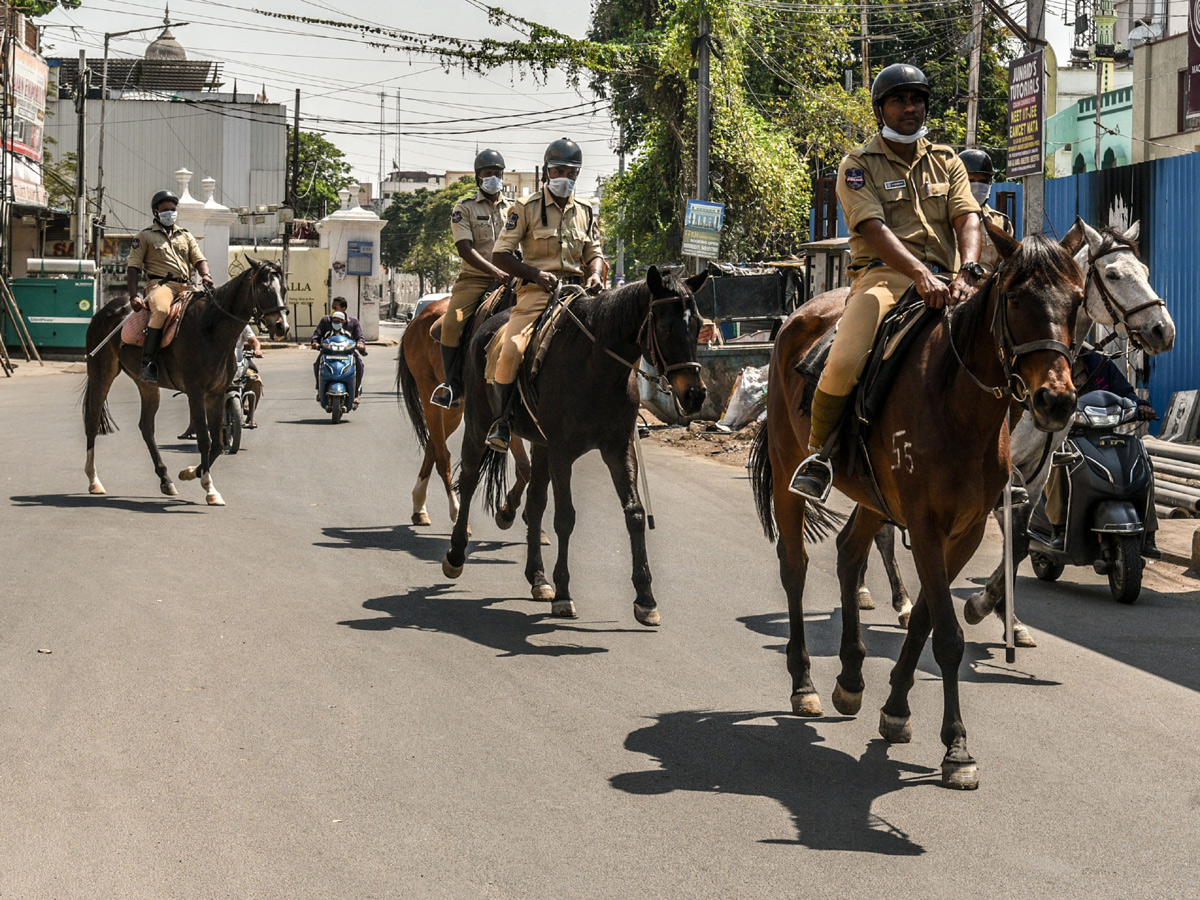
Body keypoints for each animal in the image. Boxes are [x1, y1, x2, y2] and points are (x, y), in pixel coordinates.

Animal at [83, 259, 289, 508]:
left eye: (283, 289)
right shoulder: (196, 392)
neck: (212, 328)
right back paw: (94, 480)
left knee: (146, 427)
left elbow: (217, 443)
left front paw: (191, 472)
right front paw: (209, 488)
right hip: (101, 373)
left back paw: (165, 479)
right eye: (263, 289)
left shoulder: (217, 393)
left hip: (147, 385)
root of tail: (104, 311)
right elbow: (204, 440)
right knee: (92, 421)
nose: (281, 327)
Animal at [398, 297, 535, 535]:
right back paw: (455, 512)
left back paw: (419, 508)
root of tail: (418, 318)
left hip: (456, 407)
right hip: (428, 392)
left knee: (433, 445)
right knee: (442, 456)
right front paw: (507, 513)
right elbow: (525, 467)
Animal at [444, 267, 705, 628]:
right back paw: (456, 555)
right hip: (479, 424)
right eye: (665, 327)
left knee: (535, 503)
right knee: (469, 480)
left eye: (698, 325)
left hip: (539, 445)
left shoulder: (617, 448)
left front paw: (645, 599)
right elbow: (565, 517)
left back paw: (538, 578)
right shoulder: (562, 453)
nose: (695, 394)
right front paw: (565, 594)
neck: (597, 367)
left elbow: (635, 513)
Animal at [748, 230, 1080, 787]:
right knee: (795, 568)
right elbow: (946, 634)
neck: (959, 402)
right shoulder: (925, 525)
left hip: (873, 496)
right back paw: (805, 684)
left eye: (1076, 301)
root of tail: (800, 315)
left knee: (849, 552)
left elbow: (927, 618)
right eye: (1015, 299)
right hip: (789, 466)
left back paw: (851, 677)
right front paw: (958, 748)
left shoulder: (964, 531)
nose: (1055, 400)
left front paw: (897, 710)